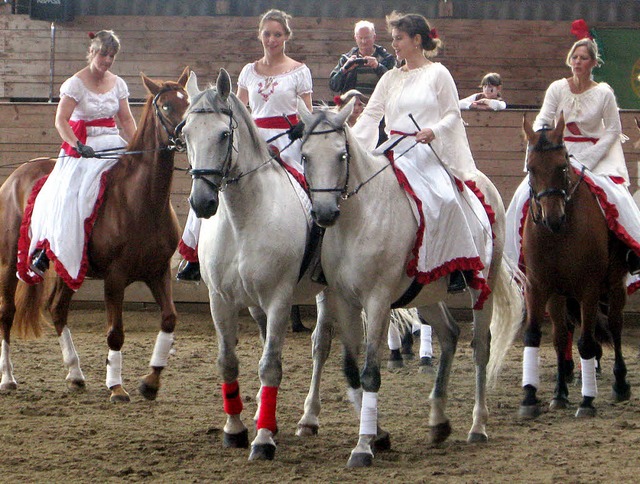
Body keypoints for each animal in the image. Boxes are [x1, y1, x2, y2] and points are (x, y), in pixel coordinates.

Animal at [0, 67, 190, 400]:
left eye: (188, 102)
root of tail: (17, 175)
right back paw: (8, 378)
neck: (142, 199)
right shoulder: (115, 277)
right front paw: (116, 386)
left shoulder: (157, 272)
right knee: (7, 313)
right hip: (12, 263)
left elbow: (169, 319)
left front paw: (150, 382)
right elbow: (115, 333)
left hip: (70, 264)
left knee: (57, 309)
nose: (186, 135)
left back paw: (75, 374)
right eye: (167, 106)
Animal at [298, 100, 524, 466]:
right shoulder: (344, 300)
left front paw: (364, 446)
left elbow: (370, 372)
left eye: (341, 156)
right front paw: (374, 435)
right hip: (427, 293)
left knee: (480, 348)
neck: (360, 218)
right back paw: (439, 421)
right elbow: (348, 366)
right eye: (305, 156)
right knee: (450, 334)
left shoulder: (376, 301)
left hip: (482, 286)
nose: (325, 213)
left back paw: (478, 426)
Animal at [516, 115, 632, 418]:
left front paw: (587, 401)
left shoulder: (588, 289)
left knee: (615, 325)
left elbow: (586, 341)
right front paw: (537, 396)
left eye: (563, 166)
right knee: (566, 332)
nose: (553, 218)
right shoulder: (541, 287)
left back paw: (620, 384)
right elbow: (542, 337)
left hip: (614, 284)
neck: (558, 235)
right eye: (530, 168)